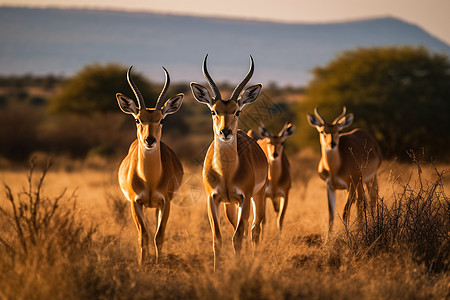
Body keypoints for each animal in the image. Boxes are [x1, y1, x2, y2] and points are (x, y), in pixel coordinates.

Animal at [118, 65, 185, 262]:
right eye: (137, 119)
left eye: (161, 119)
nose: (150, 140)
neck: (149, 180)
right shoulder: (135, 202)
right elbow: (143, 235)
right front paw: (142, 263)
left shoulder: (165, 202)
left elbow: (159, 235)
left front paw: (158, 262)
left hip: (155, 206)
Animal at [190, 54, 268, 270]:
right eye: (213, 111)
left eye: (237, 111)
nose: (225, 131)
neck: (225, 173)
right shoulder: (213, 199)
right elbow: (218, 238)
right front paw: (217, 271)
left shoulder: (244, 197)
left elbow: (238, 238)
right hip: (230, 205)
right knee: (243, 229)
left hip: (258, 196)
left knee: (254, 229)